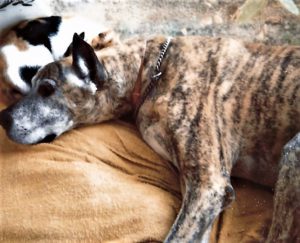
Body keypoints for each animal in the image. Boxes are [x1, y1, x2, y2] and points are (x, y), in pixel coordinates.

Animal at [0, 33, 300, 242]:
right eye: (32, 84)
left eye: (47, 89)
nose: (2, 118)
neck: (151, 71)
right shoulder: (201, 191)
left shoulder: (208, 184)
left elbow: (177, 236)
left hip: (291, 155)